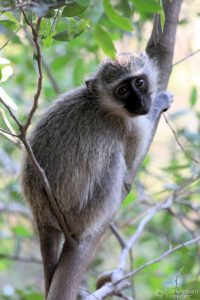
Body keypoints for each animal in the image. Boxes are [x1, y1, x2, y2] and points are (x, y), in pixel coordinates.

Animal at [20, 52, 173, 298]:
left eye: (139, 82)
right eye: (123, 90)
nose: (141, 103)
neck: (100, 103)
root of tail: (40, 215)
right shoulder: (131, 127)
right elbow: (132, 158)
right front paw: (160, 101)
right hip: (79, 215)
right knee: (114, 161)